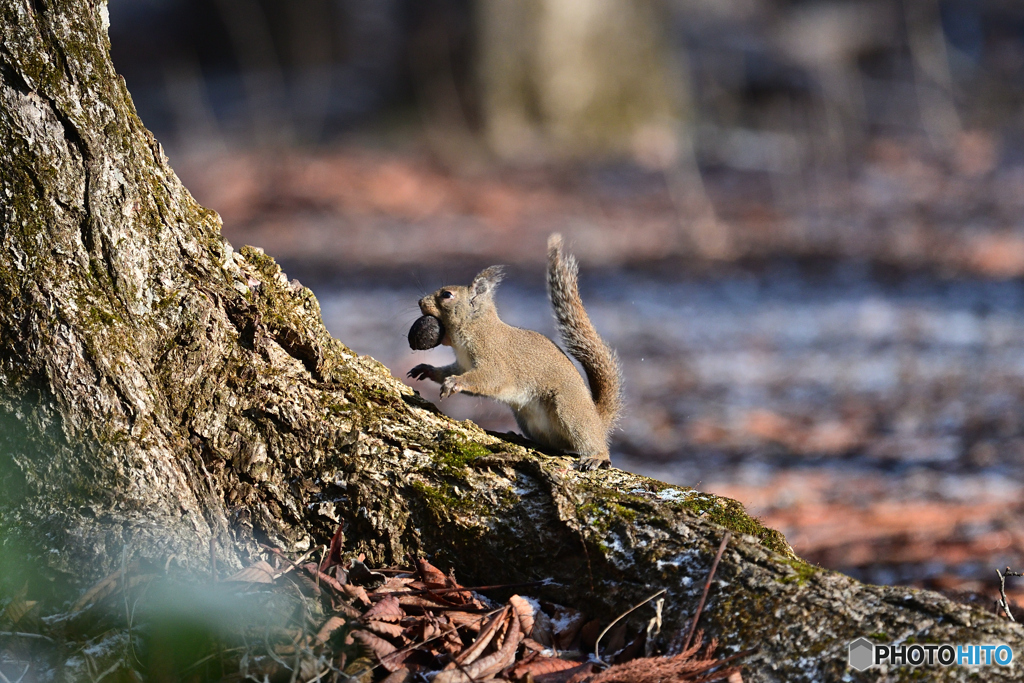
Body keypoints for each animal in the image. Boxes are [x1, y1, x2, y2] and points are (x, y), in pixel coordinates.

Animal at [409, 235, 622, 471]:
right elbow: (450, 372)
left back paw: (597, 456)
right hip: (528, 420)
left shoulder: (493, 357)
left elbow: (490, 378)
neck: (474, 329)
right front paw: (427, 370)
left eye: (447, 295)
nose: (420, 302)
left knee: (589, 439)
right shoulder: (462, 364)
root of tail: (597, 418)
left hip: (568, 408)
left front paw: (455, 382)